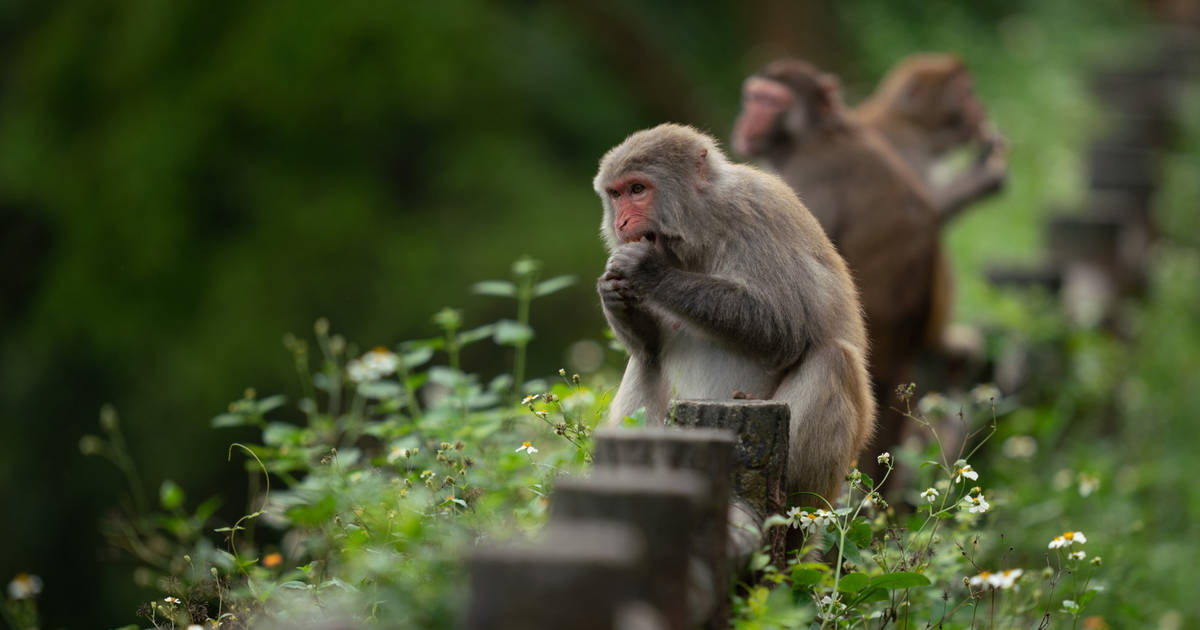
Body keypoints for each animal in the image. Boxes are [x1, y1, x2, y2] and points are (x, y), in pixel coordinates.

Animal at [594, 123, 875, 505]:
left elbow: (783, 327)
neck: (700, 228)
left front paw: (649, 271)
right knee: (645, 363)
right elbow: (649, 349)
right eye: (615, 194)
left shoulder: (757, 214)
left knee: (833, 358)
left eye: (638, 189)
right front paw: (612, 293)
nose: (621, 221)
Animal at [854, 53, 1008, 224]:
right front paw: (985, 173)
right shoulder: (904, 145)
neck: (913, 124)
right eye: (966, 93)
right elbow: (924, 209)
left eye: (970, 91)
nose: (981, 107)